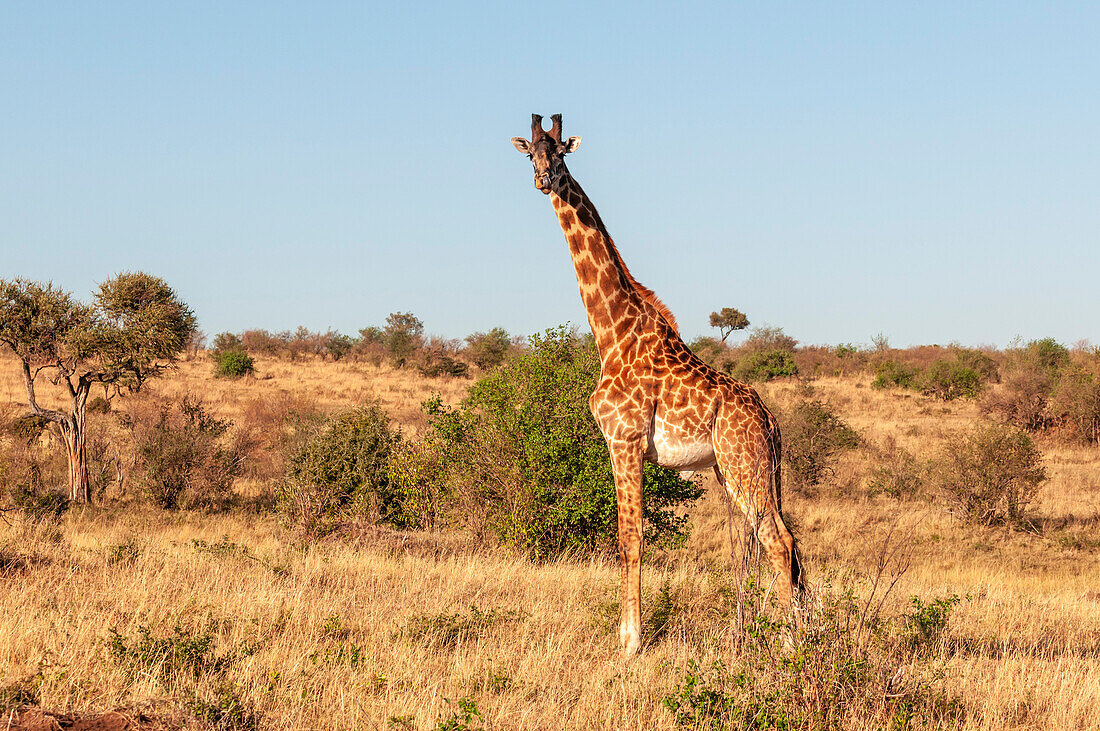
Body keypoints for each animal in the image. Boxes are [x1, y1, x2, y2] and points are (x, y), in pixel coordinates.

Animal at [510, 112, 805, 655]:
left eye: (559, 153)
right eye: (530, 154)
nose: (542, 180)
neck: (611, 333)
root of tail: (771, 422)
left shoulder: (624, 439)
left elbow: (631, 539)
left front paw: (630, 642)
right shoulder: (619, 444)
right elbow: (628, 538)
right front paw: (628, 635)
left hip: (743, 464)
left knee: (779, 541)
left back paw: (793, 644)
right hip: (733, 470)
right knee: (772, 542)